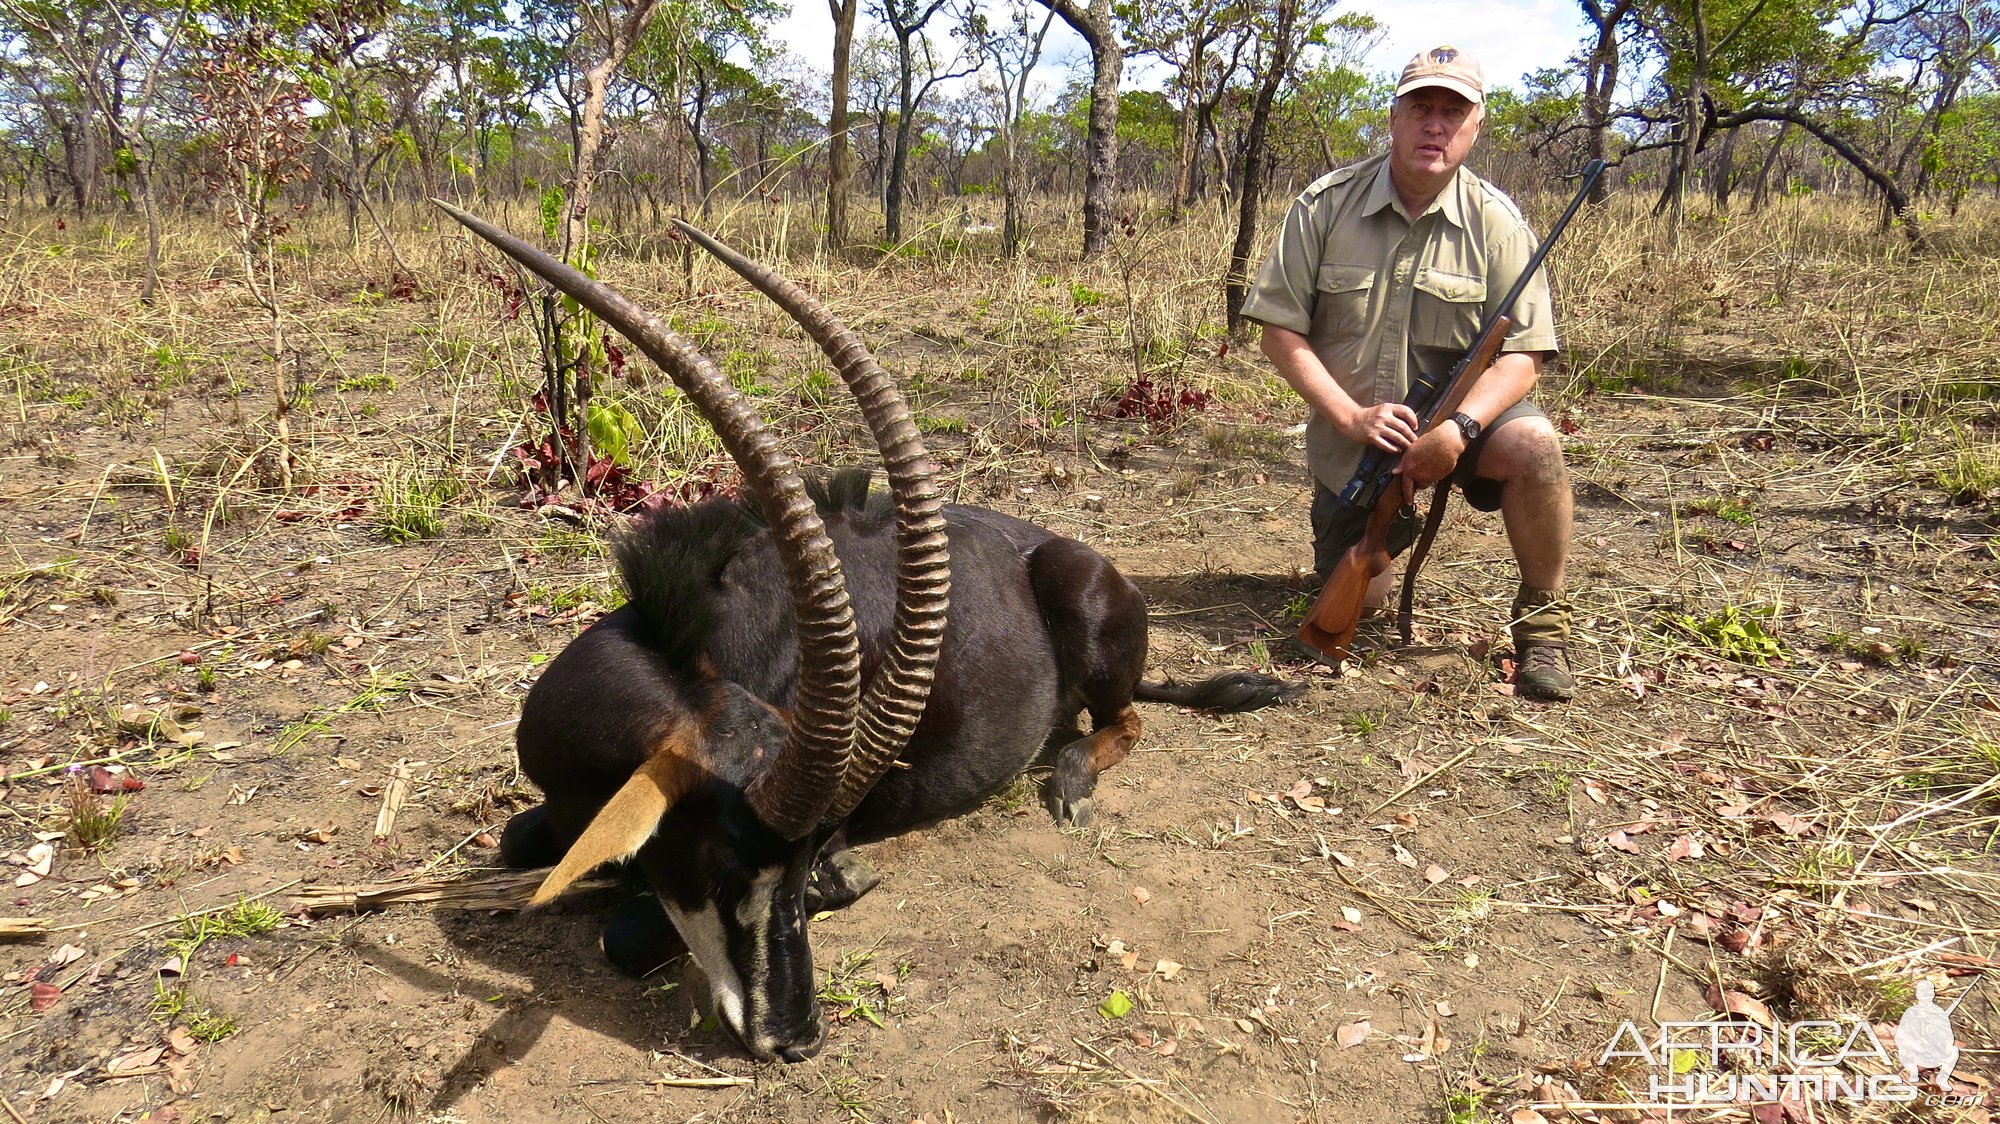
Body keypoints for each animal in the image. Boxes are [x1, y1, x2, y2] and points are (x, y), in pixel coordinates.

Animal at [434, 203, 1296, 1056]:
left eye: (804, 859)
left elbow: (628, 933)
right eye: (720, 868)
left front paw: (846, 883)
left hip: (1081, 599)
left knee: (1126, 720)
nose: (797, 1039)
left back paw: (1073, 781)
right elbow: (515, 842)